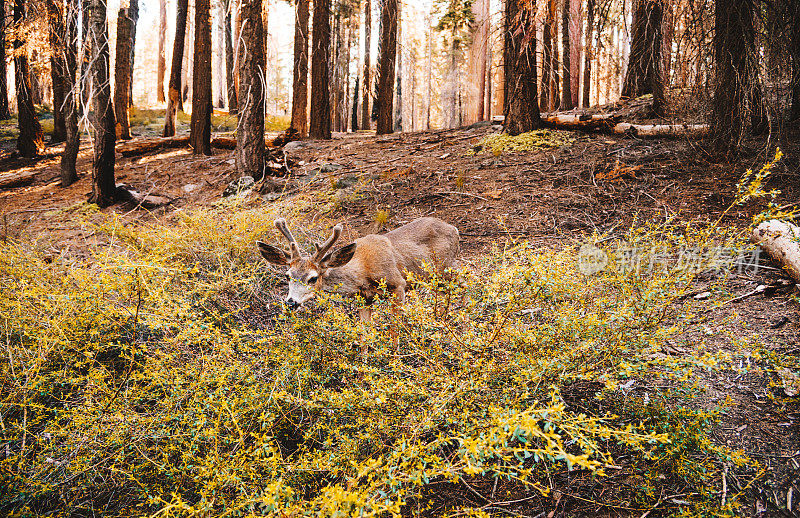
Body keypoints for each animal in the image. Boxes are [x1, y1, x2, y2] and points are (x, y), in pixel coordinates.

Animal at [253, 216, 460, 320]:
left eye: (313, 278)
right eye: (287, 275)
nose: (291, 302)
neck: (362, 272)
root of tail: (455, 229)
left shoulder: (398, 284)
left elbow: (395, 329)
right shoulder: (364, 299)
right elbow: (364, 337)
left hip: (445, 268)